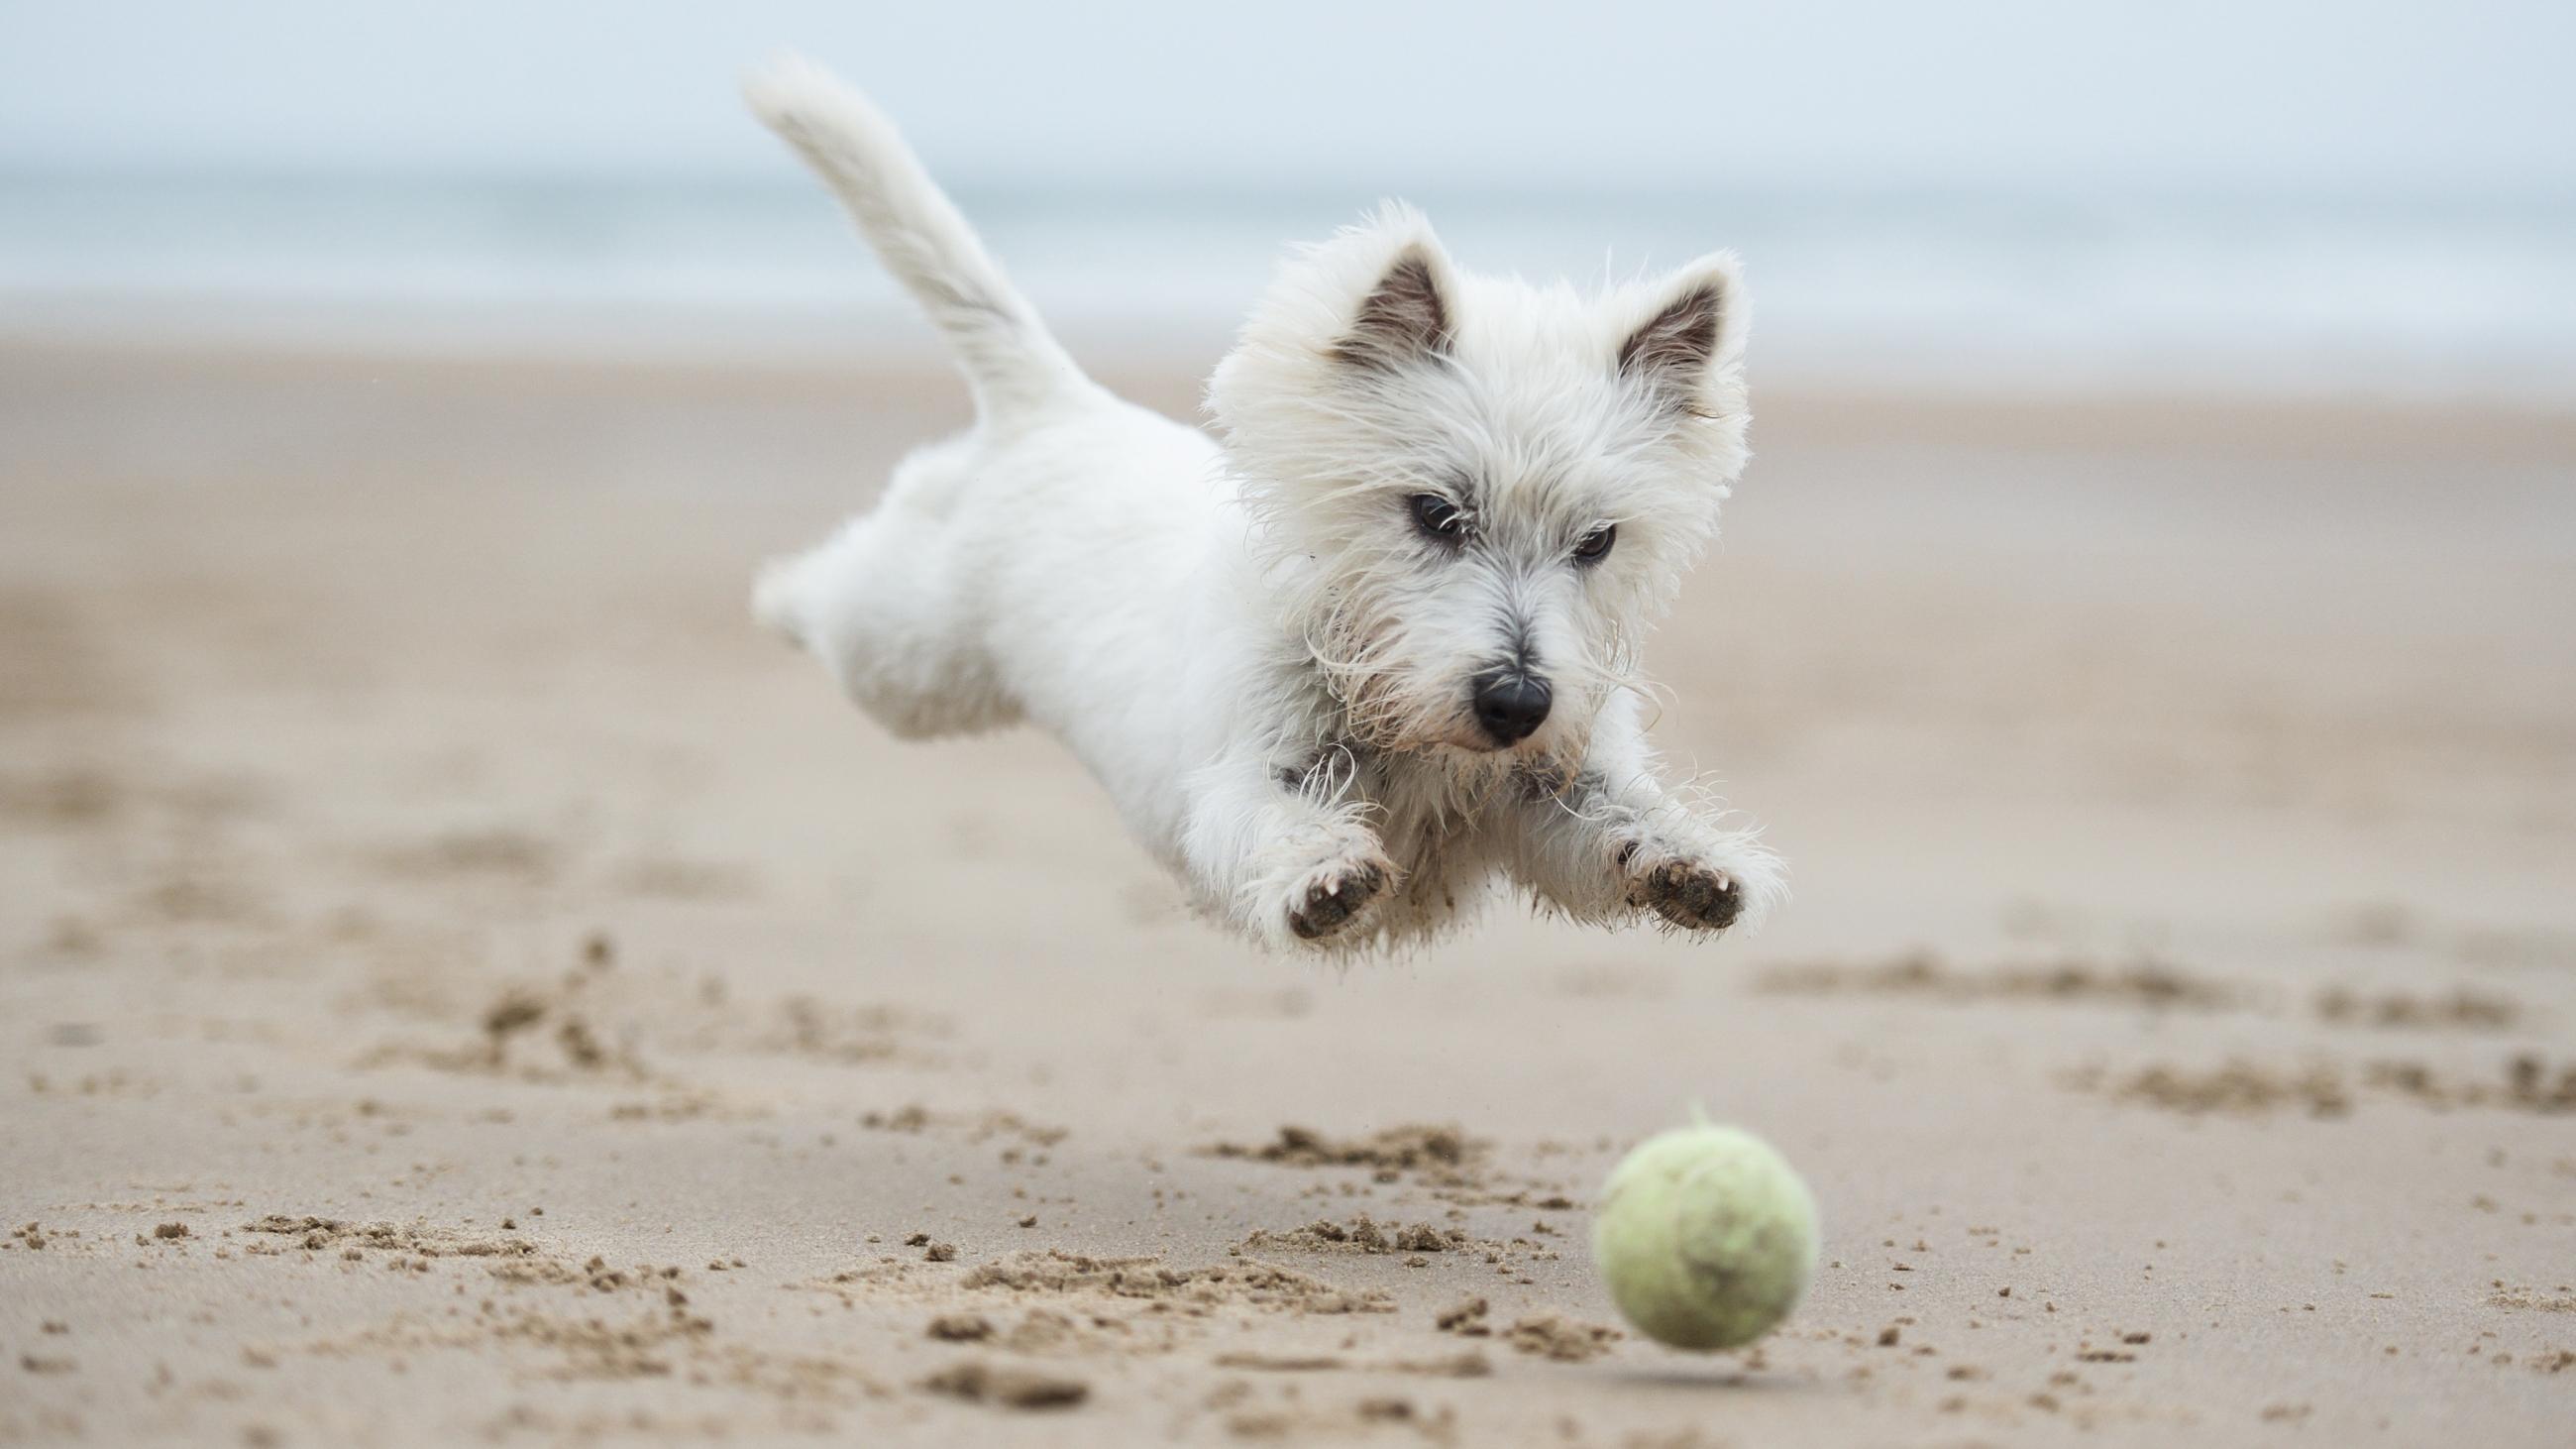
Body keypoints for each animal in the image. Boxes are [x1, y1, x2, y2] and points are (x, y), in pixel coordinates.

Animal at [752, 61, 1792, 953]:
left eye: (1598, 541)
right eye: (1435, 514)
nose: (1516, 701)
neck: (1395, 712)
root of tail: (1060, 405)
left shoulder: (1551, 787)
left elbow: (1613, 821)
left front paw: (1693, 864)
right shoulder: (1242, 774)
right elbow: (1272, 821)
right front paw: (1322, 877)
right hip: (910, 657)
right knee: (837, 595)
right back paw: (774, 593)